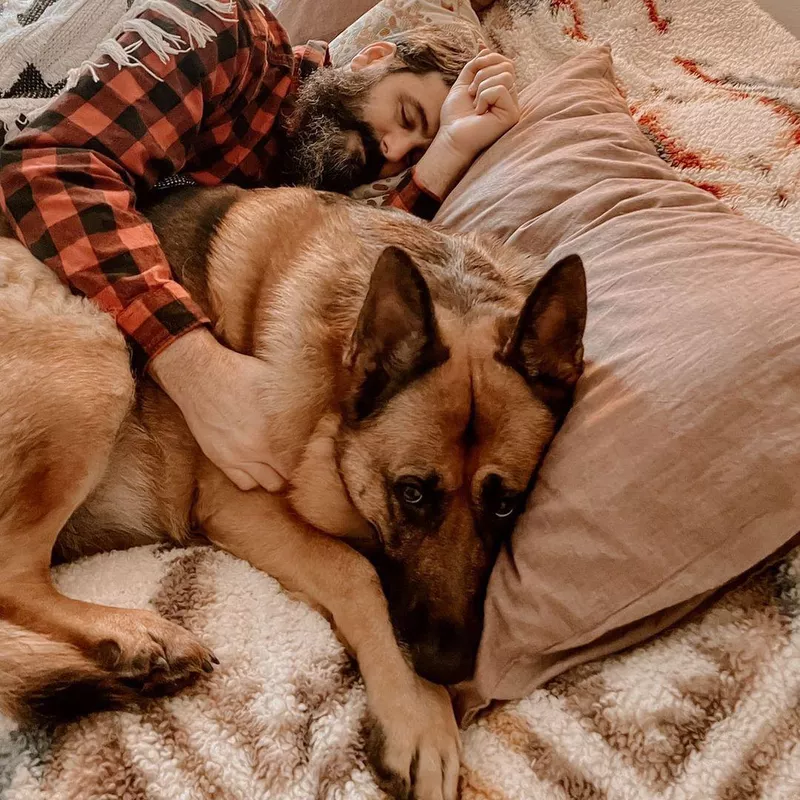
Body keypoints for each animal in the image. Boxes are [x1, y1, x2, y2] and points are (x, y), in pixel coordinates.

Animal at [0, 188, 588, 800]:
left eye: (506, 504)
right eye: (411, 493)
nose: (445, 668)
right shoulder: (242, 503)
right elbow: (356, 571)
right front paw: (419, 712)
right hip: (96, 352)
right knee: (12, 579)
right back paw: (135, 635)